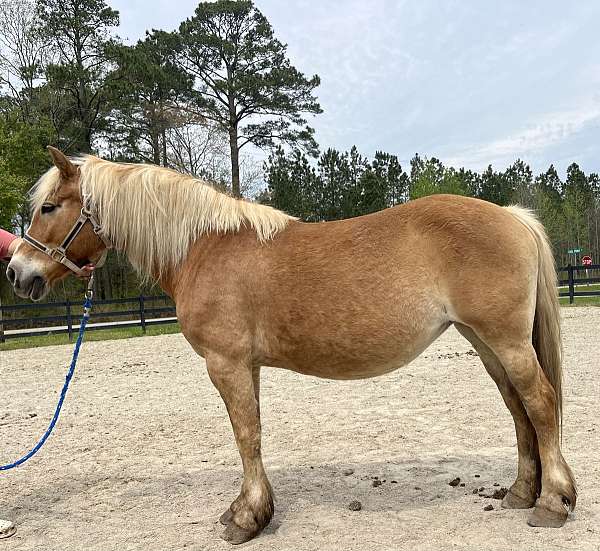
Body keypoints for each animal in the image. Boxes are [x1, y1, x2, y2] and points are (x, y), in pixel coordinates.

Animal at [5, 147, 576, 544]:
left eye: (49, 207)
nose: (17, 273)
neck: (203, 247)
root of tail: (512, 216)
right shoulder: (245, 366)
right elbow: (253, 432)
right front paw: (257, 509)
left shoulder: (227, 363)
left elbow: (246, 436)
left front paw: (245, 517)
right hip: (485, 343)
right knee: (519, 409)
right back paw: (521, 493)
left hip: (505, 341)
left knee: (540, 403)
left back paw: (551, 503)